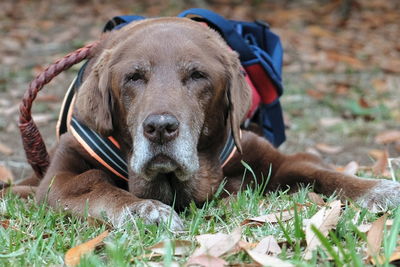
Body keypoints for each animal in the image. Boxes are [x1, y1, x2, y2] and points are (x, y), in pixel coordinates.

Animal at [6, 17, 400, 230]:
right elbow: (97, 187)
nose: (160, 128)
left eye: (197, 76)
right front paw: (146, 211)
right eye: (133, 77)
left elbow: (320, 172)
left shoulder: (268, 157)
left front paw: (378, 189)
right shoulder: (59, 179)